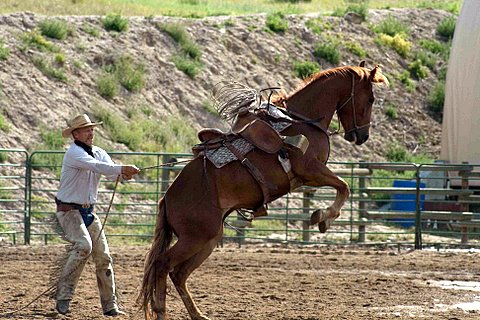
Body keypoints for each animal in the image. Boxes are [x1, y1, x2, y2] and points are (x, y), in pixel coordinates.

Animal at [141, 63, 388, 320]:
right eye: (371, 98)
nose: (363, 136)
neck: (301, 120)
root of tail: (167, 199)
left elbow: (342, 187)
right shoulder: (311, 169)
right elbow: (344, 187)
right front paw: (322, 218)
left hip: (208, 238)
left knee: (178, 273)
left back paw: (198, 314)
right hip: (195, 238)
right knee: (163, 264)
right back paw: (162, 312)